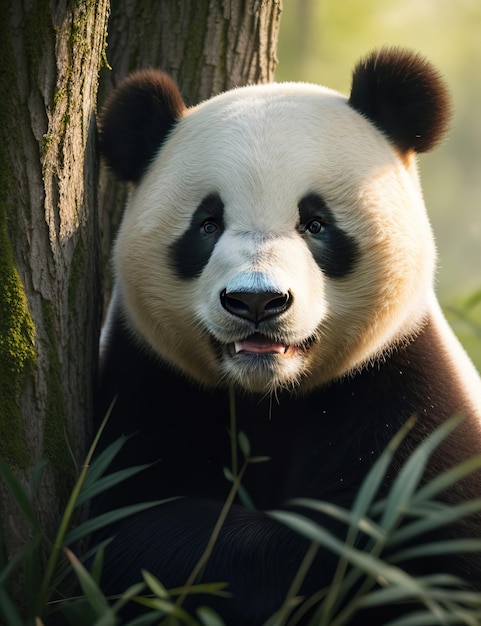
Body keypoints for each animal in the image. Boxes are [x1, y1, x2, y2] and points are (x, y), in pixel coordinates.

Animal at [93, 46, 480, 620]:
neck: (269, 396)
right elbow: (128, 512)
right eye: (207, 224)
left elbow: (415, 546)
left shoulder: (405, 392)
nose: (257, 301)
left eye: (316, 223)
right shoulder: (149, 384)